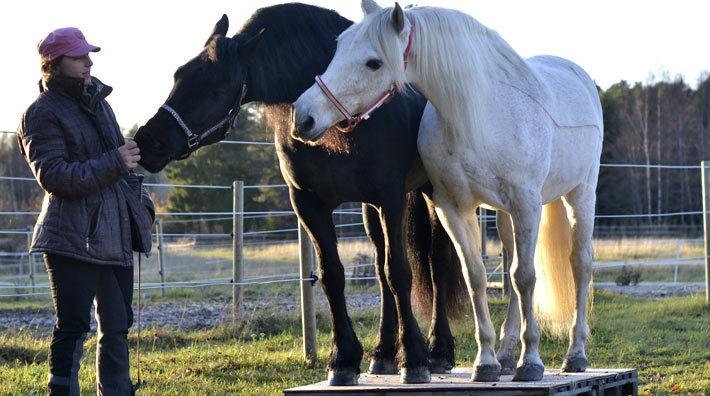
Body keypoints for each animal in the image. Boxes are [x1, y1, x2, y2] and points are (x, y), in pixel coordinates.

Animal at [134, 3, 470, 386]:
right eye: (178, 75)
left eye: (214, 88)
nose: (148, 141)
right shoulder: (310, 203)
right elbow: (333, 276)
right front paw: (344, 360)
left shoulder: (392, 198)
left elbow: (400, 271)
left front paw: (414, 358)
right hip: (369, 209)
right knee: (381, 274)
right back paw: (383, 354)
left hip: (431, 192)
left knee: (437, 262)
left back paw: (438, 351)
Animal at [294, 0, 608, 382]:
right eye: (338, 47)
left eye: (374, 62)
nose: (303, 116)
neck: (478, 116)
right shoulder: (454, 208)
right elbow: (477, 277)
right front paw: (486, 362)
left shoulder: (527, 204)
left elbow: (526, 277)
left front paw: (531, 362)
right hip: (504, 216)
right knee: (513, 266)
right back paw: (506, 355)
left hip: (580, 195)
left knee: (579, 263)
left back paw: (574, 354)